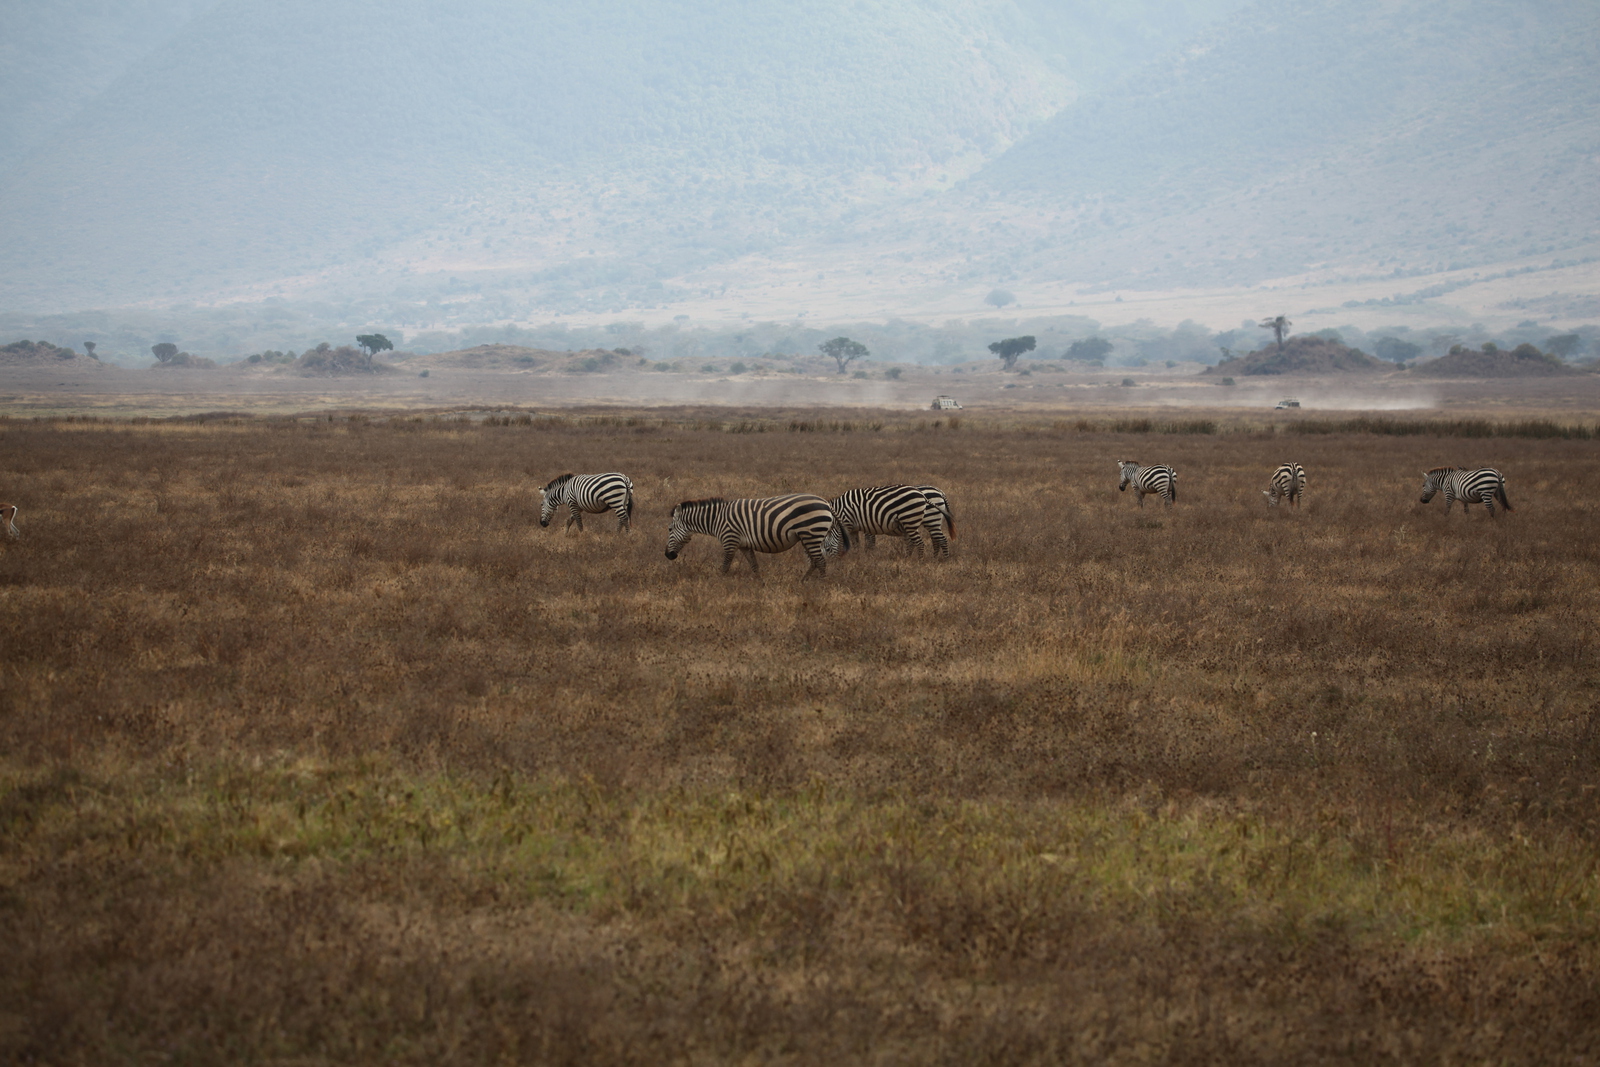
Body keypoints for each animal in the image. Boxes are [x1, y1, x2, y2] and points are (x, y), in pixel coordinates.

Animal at [662, 495, 851, 579]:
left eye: (670, 529)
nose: (667, 555)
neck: (716, 519)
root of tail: (825, 502)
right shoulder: (744, 545)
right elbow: (754, 565)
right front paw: (760, 585)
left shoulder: (730, 540)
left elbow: (725, 566)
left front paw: (717, 584)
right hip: (807, 537)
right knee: (814, 561)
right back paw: (803, 582)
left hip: (812, 533)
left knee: (820, 561)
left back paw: (821, 585)